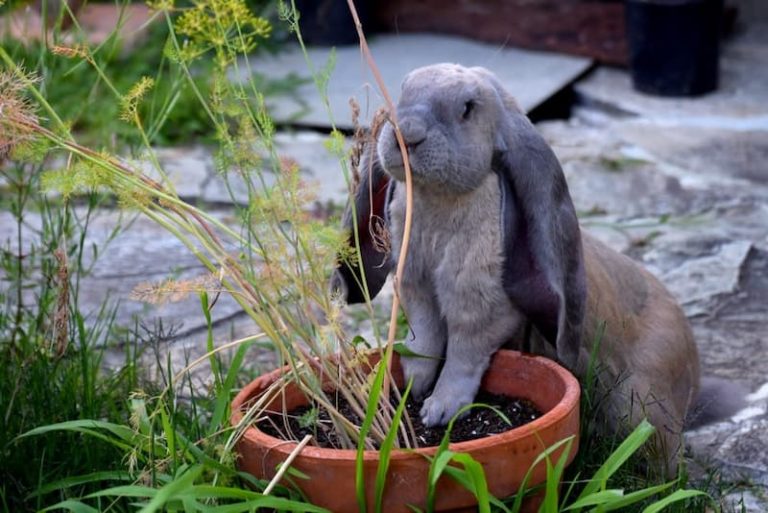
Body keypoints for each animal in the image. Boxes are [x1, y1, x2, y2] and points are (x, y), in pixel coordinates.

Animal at [332, 63, 741, 473]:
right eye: (403, 90)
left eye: (468, 108)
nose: (407, 133)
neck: (440, 201)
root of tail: (693, 375)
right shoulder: (418, 292)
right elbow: (424, 340)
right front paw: (411, 385)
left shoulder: (479, 306)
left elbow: (463, 353)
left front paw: (438, 410)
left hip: (643, 405)